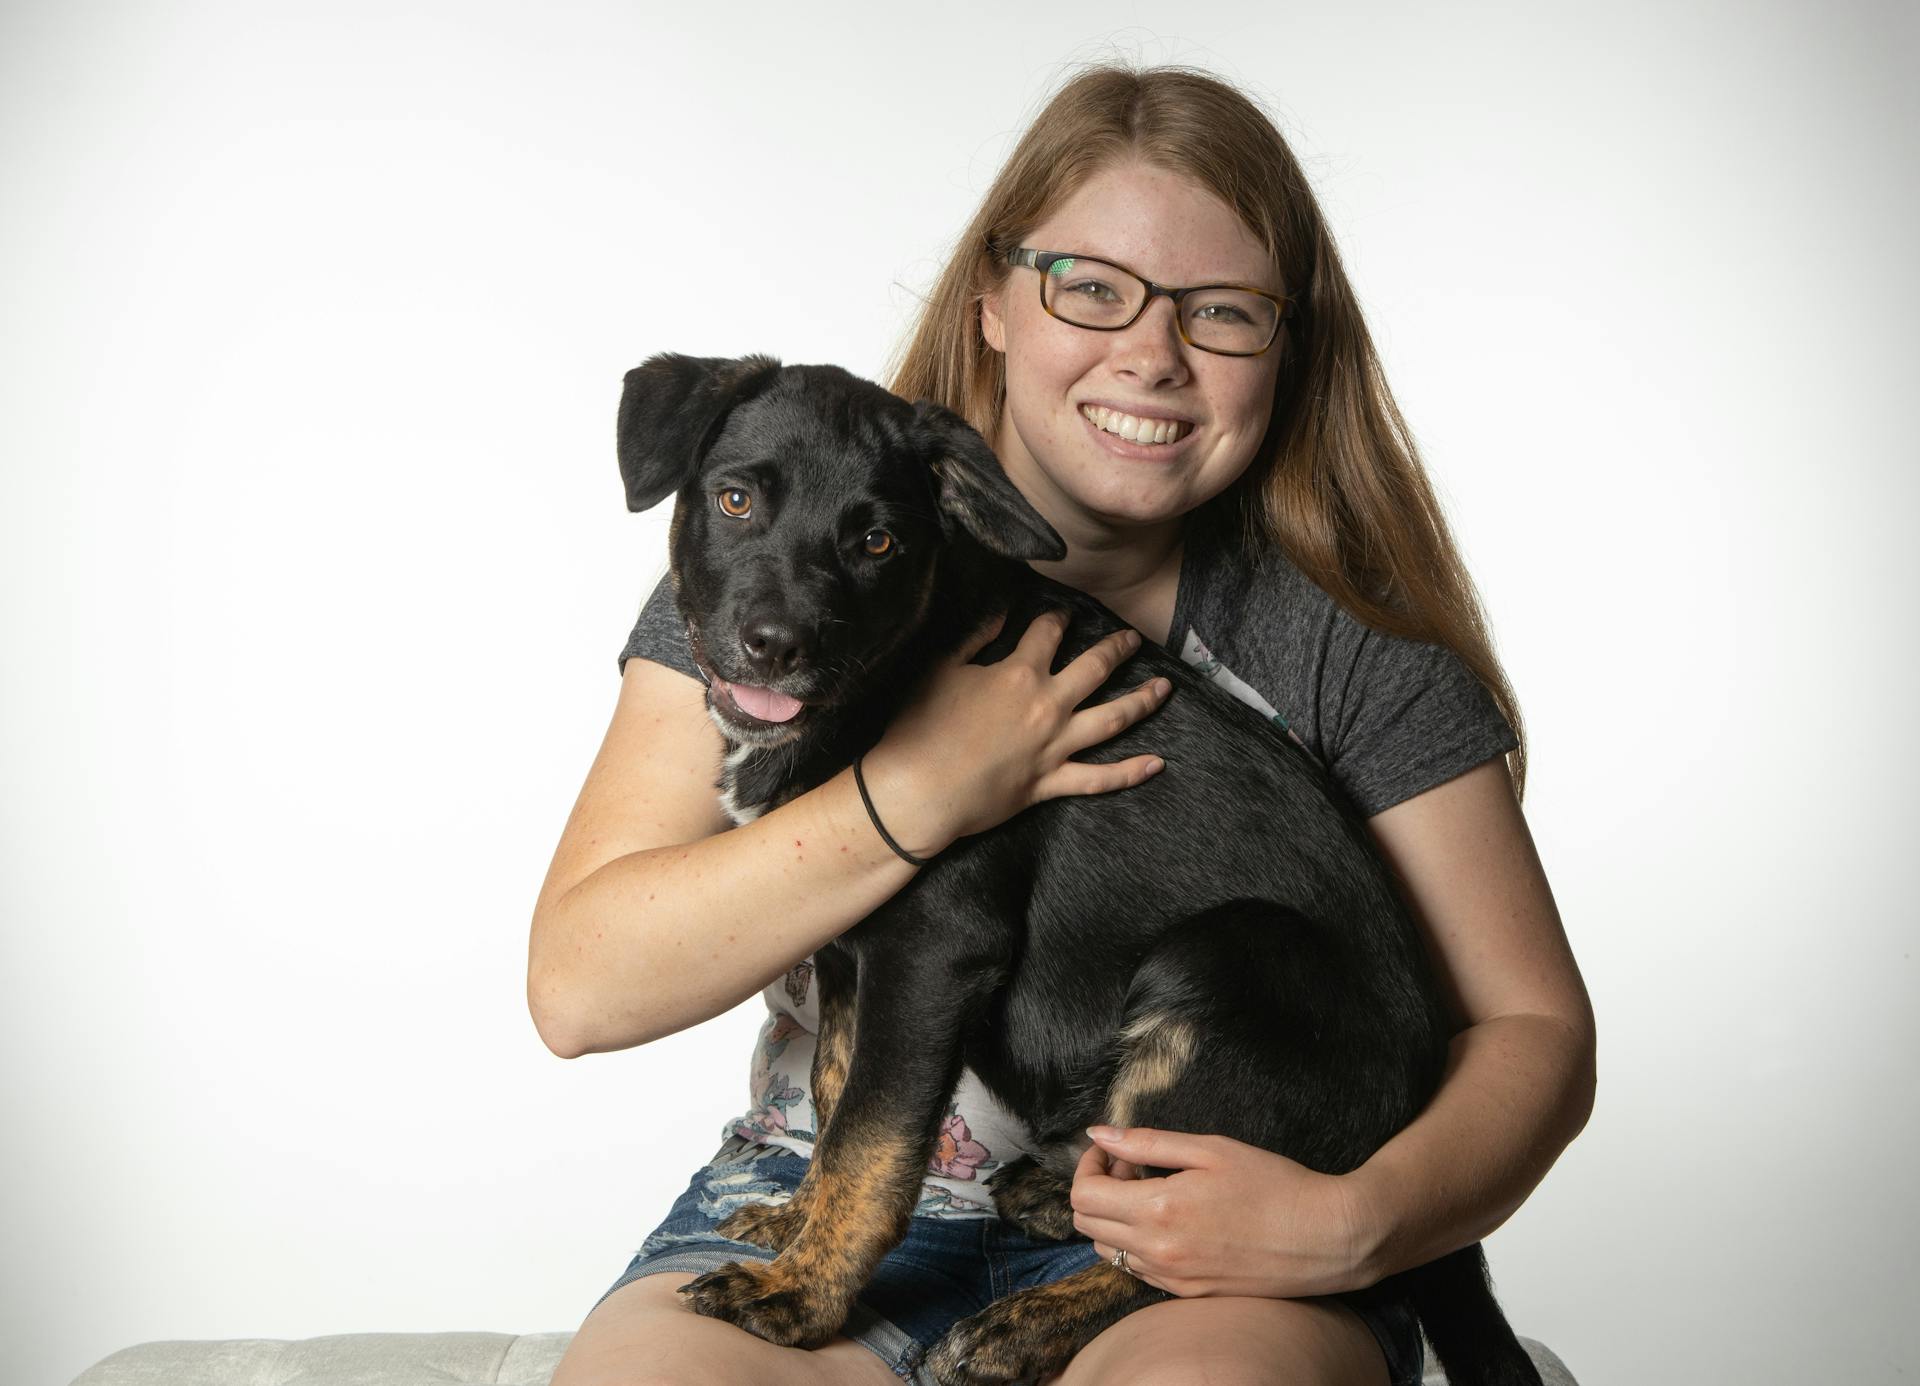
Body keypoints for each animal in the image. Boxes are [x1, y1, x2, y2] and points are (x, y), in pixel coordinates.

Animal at [614, 347, 1543, 1382]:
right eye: (735, 501)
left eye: (879, 543)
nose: (777, 648)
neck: (894, 674)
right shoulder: (856, 956)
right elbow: (833, 1094)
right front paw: (795, 1230)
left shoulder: (934, 949)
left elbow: (872, 1137)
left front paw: (801, 1296)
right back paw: (1058, 1195)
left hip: (1226, 955)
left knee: (1224, 1241)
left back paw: (1023, 1324)